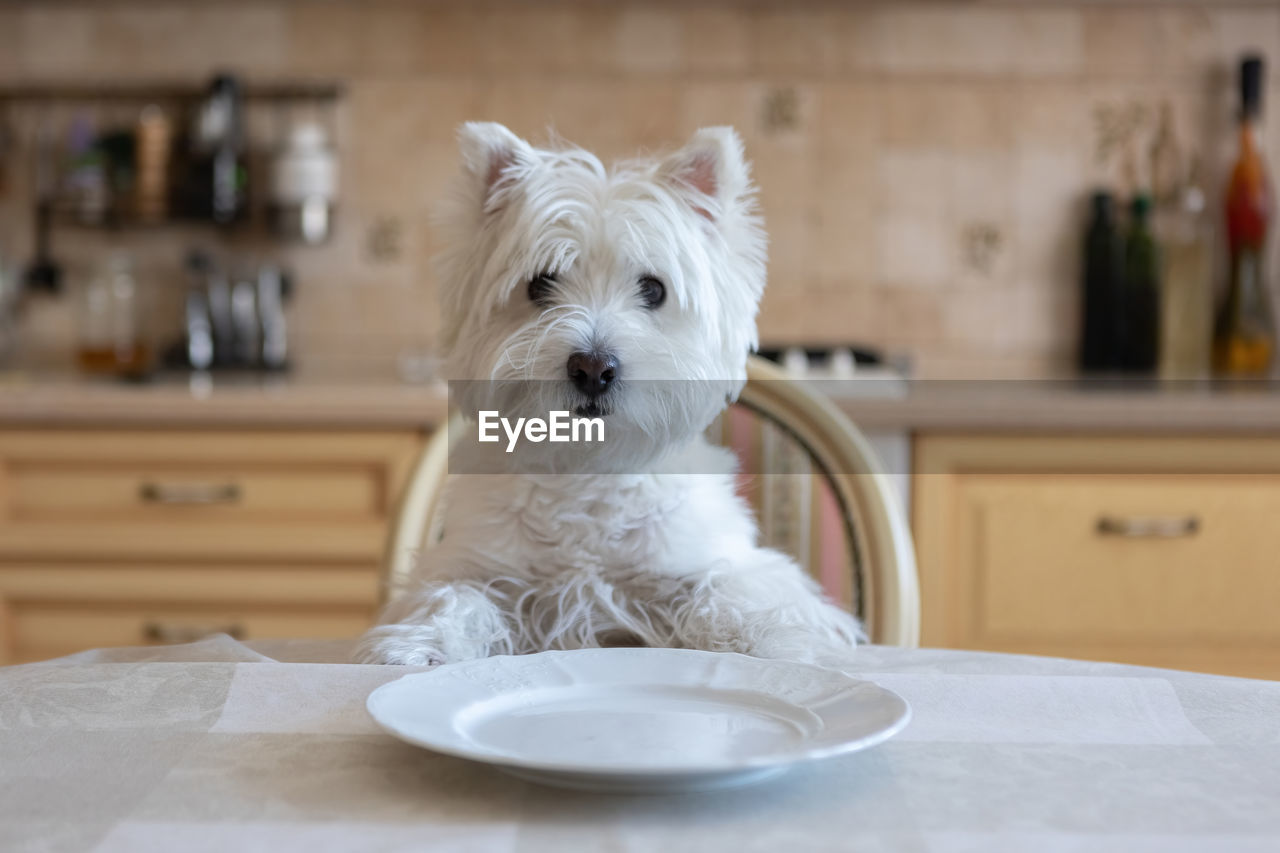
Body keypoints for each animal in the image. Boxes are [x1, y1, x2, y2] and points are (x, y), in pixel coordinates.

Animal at [355, 121, 865, 666]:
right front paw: (421, 644)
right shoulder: (473, 564)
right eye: (540, 284)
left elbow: (734, 590)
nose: (593, 368)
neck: (588, 470)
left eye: (654, 290)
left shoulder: (713, 560)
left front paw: (770, 639)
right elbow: (453, 596)